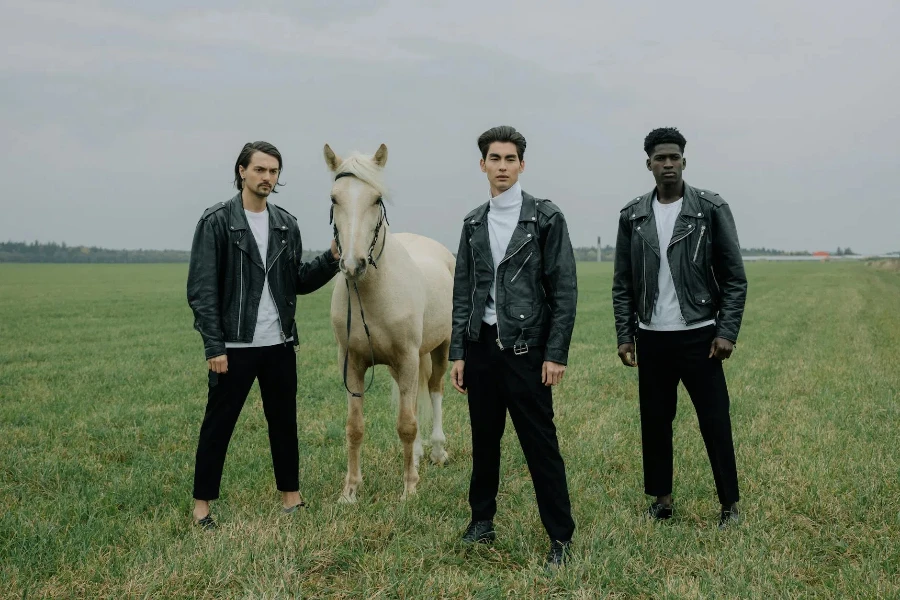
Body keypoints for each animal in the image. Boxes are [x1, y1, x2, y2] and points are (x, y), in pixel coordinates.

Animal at [322, 142, 454, 502]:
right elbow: (355, 428)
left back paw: (437, 451)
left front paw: (409, 489)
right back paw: (420, 454)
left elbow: (406, 424)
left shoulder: (408, 357)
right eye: (334, 198)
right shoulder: (351, 362)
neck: (372, 293)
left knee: (434, 391)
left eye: (376, 198)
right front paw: (350, 490)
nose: (353, 264)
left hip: (441, 348)